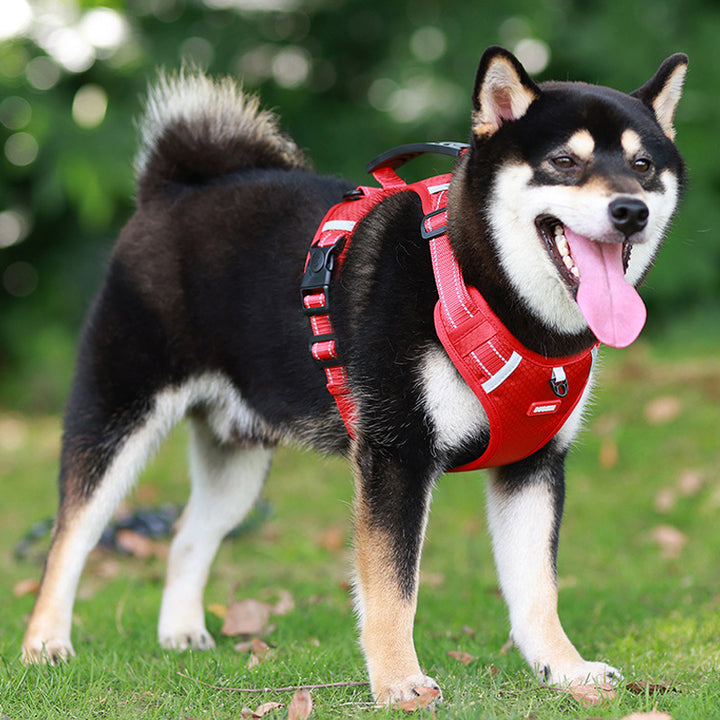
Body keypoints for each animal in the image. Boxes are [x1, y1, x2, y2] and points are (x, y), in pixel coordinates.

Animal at [21, 45, 688, 704]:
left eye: (643, 165)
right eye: (563, 162)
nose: (629, 210)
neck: (484, 289)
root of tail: (173, 191)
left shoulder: (534, 463)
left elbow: (538, 590)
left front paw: (565, 670)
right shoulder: (396, 454)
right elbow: (394, 588)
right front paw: (399, 682)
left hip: (237, 462)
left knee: (186, 535)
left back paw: (181, 632)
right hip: (117, 413)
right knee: (69, 537)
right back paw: (45, 643)